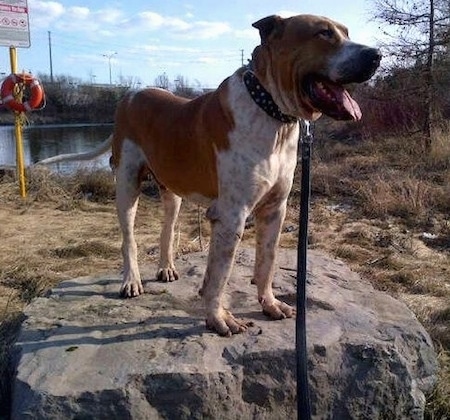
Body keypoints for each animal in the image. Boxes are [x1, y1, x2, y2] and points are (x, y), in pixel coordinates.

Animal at [37, 13, 380, 334]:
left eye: (346, 32)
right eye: (324, 33)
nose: (375, 54)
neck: (270, 110)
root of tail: (131, 96)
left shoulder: (275, 210)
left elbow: (266, 262)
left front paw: (269, 304)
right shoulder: (231, 215)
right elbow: (220, 275)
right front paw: (218, 318)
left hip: (172, 192)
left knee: (166, 230)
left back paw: (166, 268)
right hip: (126, 185)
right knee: (129, 239)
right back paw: (131, 280)